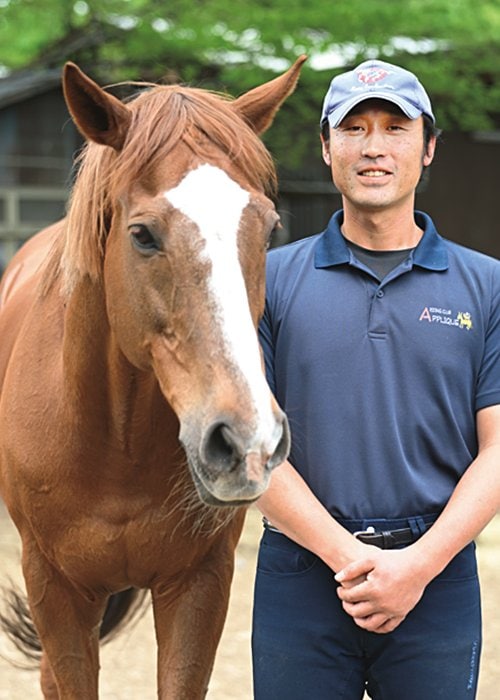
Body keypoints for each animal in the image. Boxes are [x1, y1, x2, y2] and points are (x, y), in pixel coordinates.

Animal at [0, 56, 305, 698]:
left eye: (268, 229)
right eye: (142, 234)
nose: (248, 440)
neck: (114, 446)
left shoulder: (199, 585)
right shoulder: (56, 591)